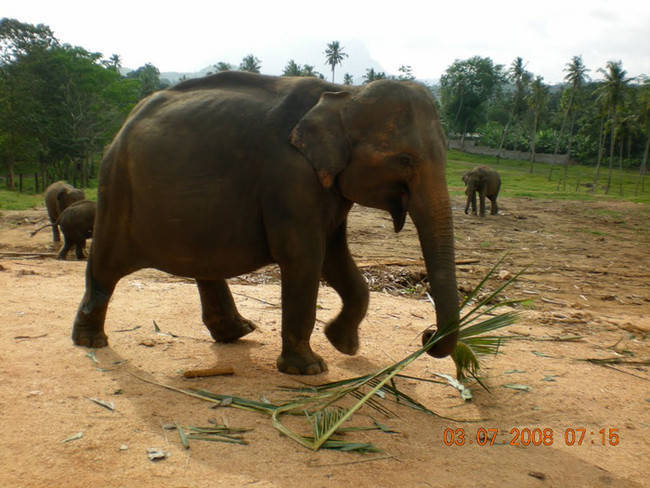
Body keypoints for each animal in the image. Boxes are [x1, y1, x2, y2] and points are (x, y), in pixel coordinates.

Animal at [72, 70, 460, 376]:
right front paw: (310, 369)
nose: (427, 335)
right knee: (106, 264)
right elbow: (305, 258)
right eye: (405, 160)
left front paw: (343, 345)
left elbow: (335, 259)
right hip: (117, 188)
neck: (344, 92)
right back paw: (90, 341)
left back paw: (237, 332)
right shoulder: (291, 179)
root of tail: (125, 122)